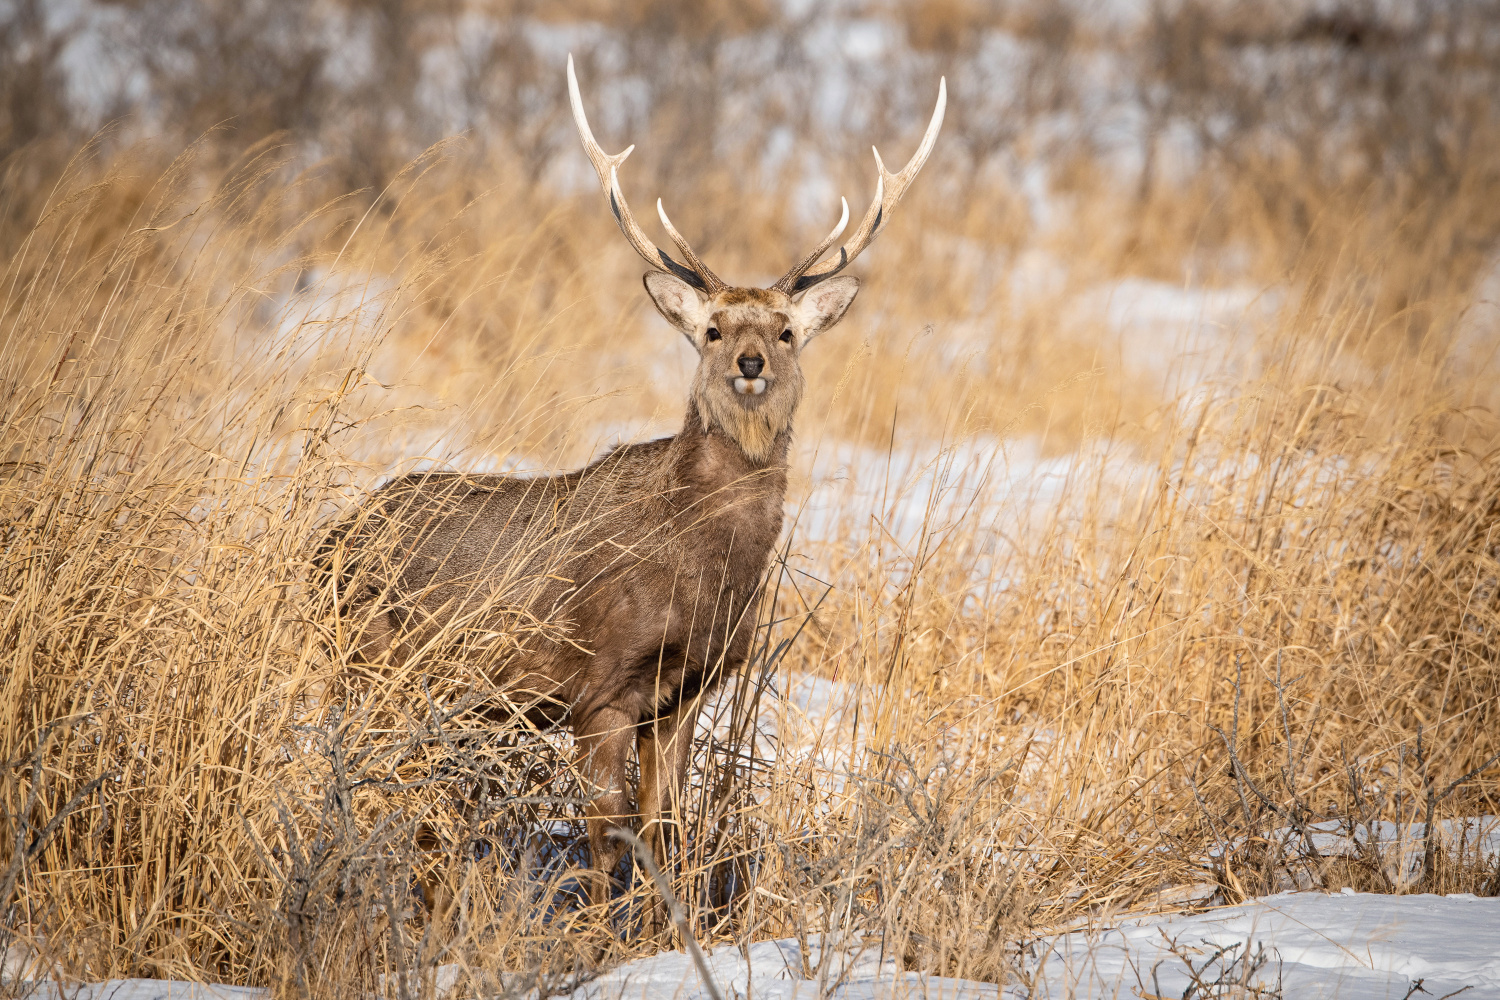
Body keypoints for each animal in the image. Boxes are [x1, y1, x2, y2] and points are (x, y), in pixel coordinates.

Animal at [318, 56, 942, 905]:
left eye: (787, 330)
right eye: (712, 329)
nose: (751, 361)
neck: (701, 569)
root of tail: (328, 540)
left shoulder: (687, 691)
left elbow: (665, 832)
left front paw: (660, 925)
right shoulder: (601, 685)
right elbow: (604, 840)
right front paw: (593, 925)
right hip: (375, 664)